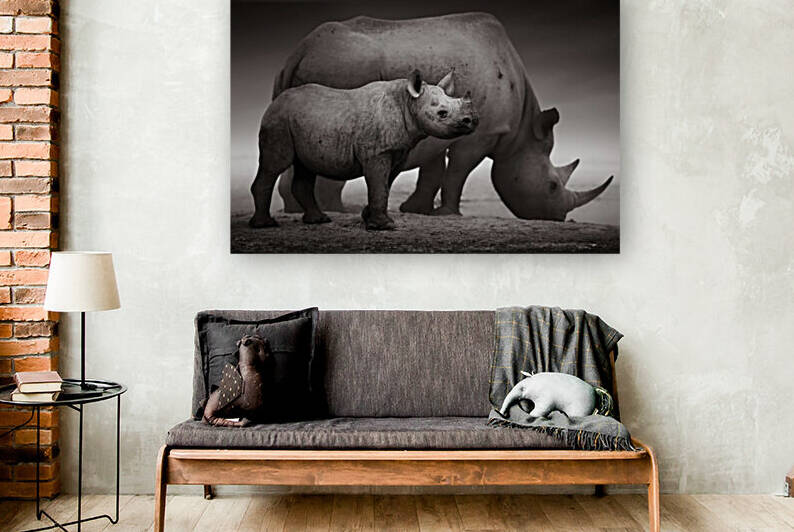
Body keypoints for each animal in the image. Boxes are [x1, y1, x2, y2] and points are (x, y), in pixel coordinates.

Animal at [249, 70, 477, 230]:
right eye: (442, 113)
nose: (472, 121)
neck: (409, 102)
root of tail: (275, 101)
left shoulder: (397, 152)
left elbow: (384, 186)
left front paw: (369, 218)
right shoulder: (378, 153)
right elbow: (379, 186)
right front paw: (385, 226)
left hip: (299, 121)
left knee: (304, 167)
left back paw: (319, 220)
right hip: (278, 121)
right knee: (275, 165)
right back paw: (265, 225)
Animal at [274, 12, 613, 221]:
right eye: (552, 186)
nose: (559, 217)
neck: (520, 133)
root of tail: (299, 51)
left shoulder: (437, 123)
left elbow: (433, 170)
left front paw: (416, 210)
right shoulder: (481, 133)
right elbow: (457, 171)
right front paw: (447, 213)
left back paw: (300, 211)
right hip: (344, 67)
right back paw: (340, 211)